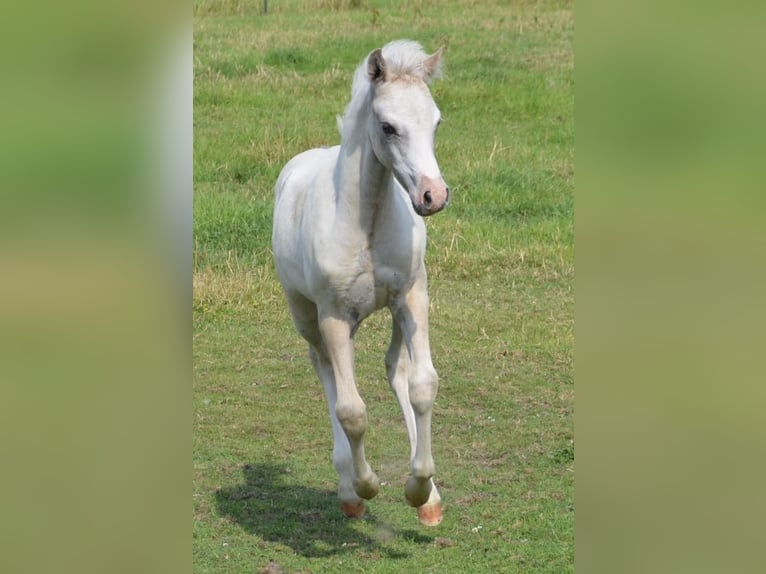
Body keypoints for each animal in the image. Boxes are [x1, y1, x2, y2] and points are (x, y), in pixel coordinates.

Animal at [272, 40, 449, 526]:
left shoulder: (412, 296)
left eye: (436, 122)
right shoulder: (333, 315)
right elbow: (351, 410)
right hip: (307, 314)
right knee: (326, 371)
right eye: (388, 127)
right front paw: (365, 486)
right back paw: (348, 486)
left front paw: (421, 492)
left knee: (396, 369)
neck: (366, 221)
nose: (433, 196)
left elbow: (422, 384)